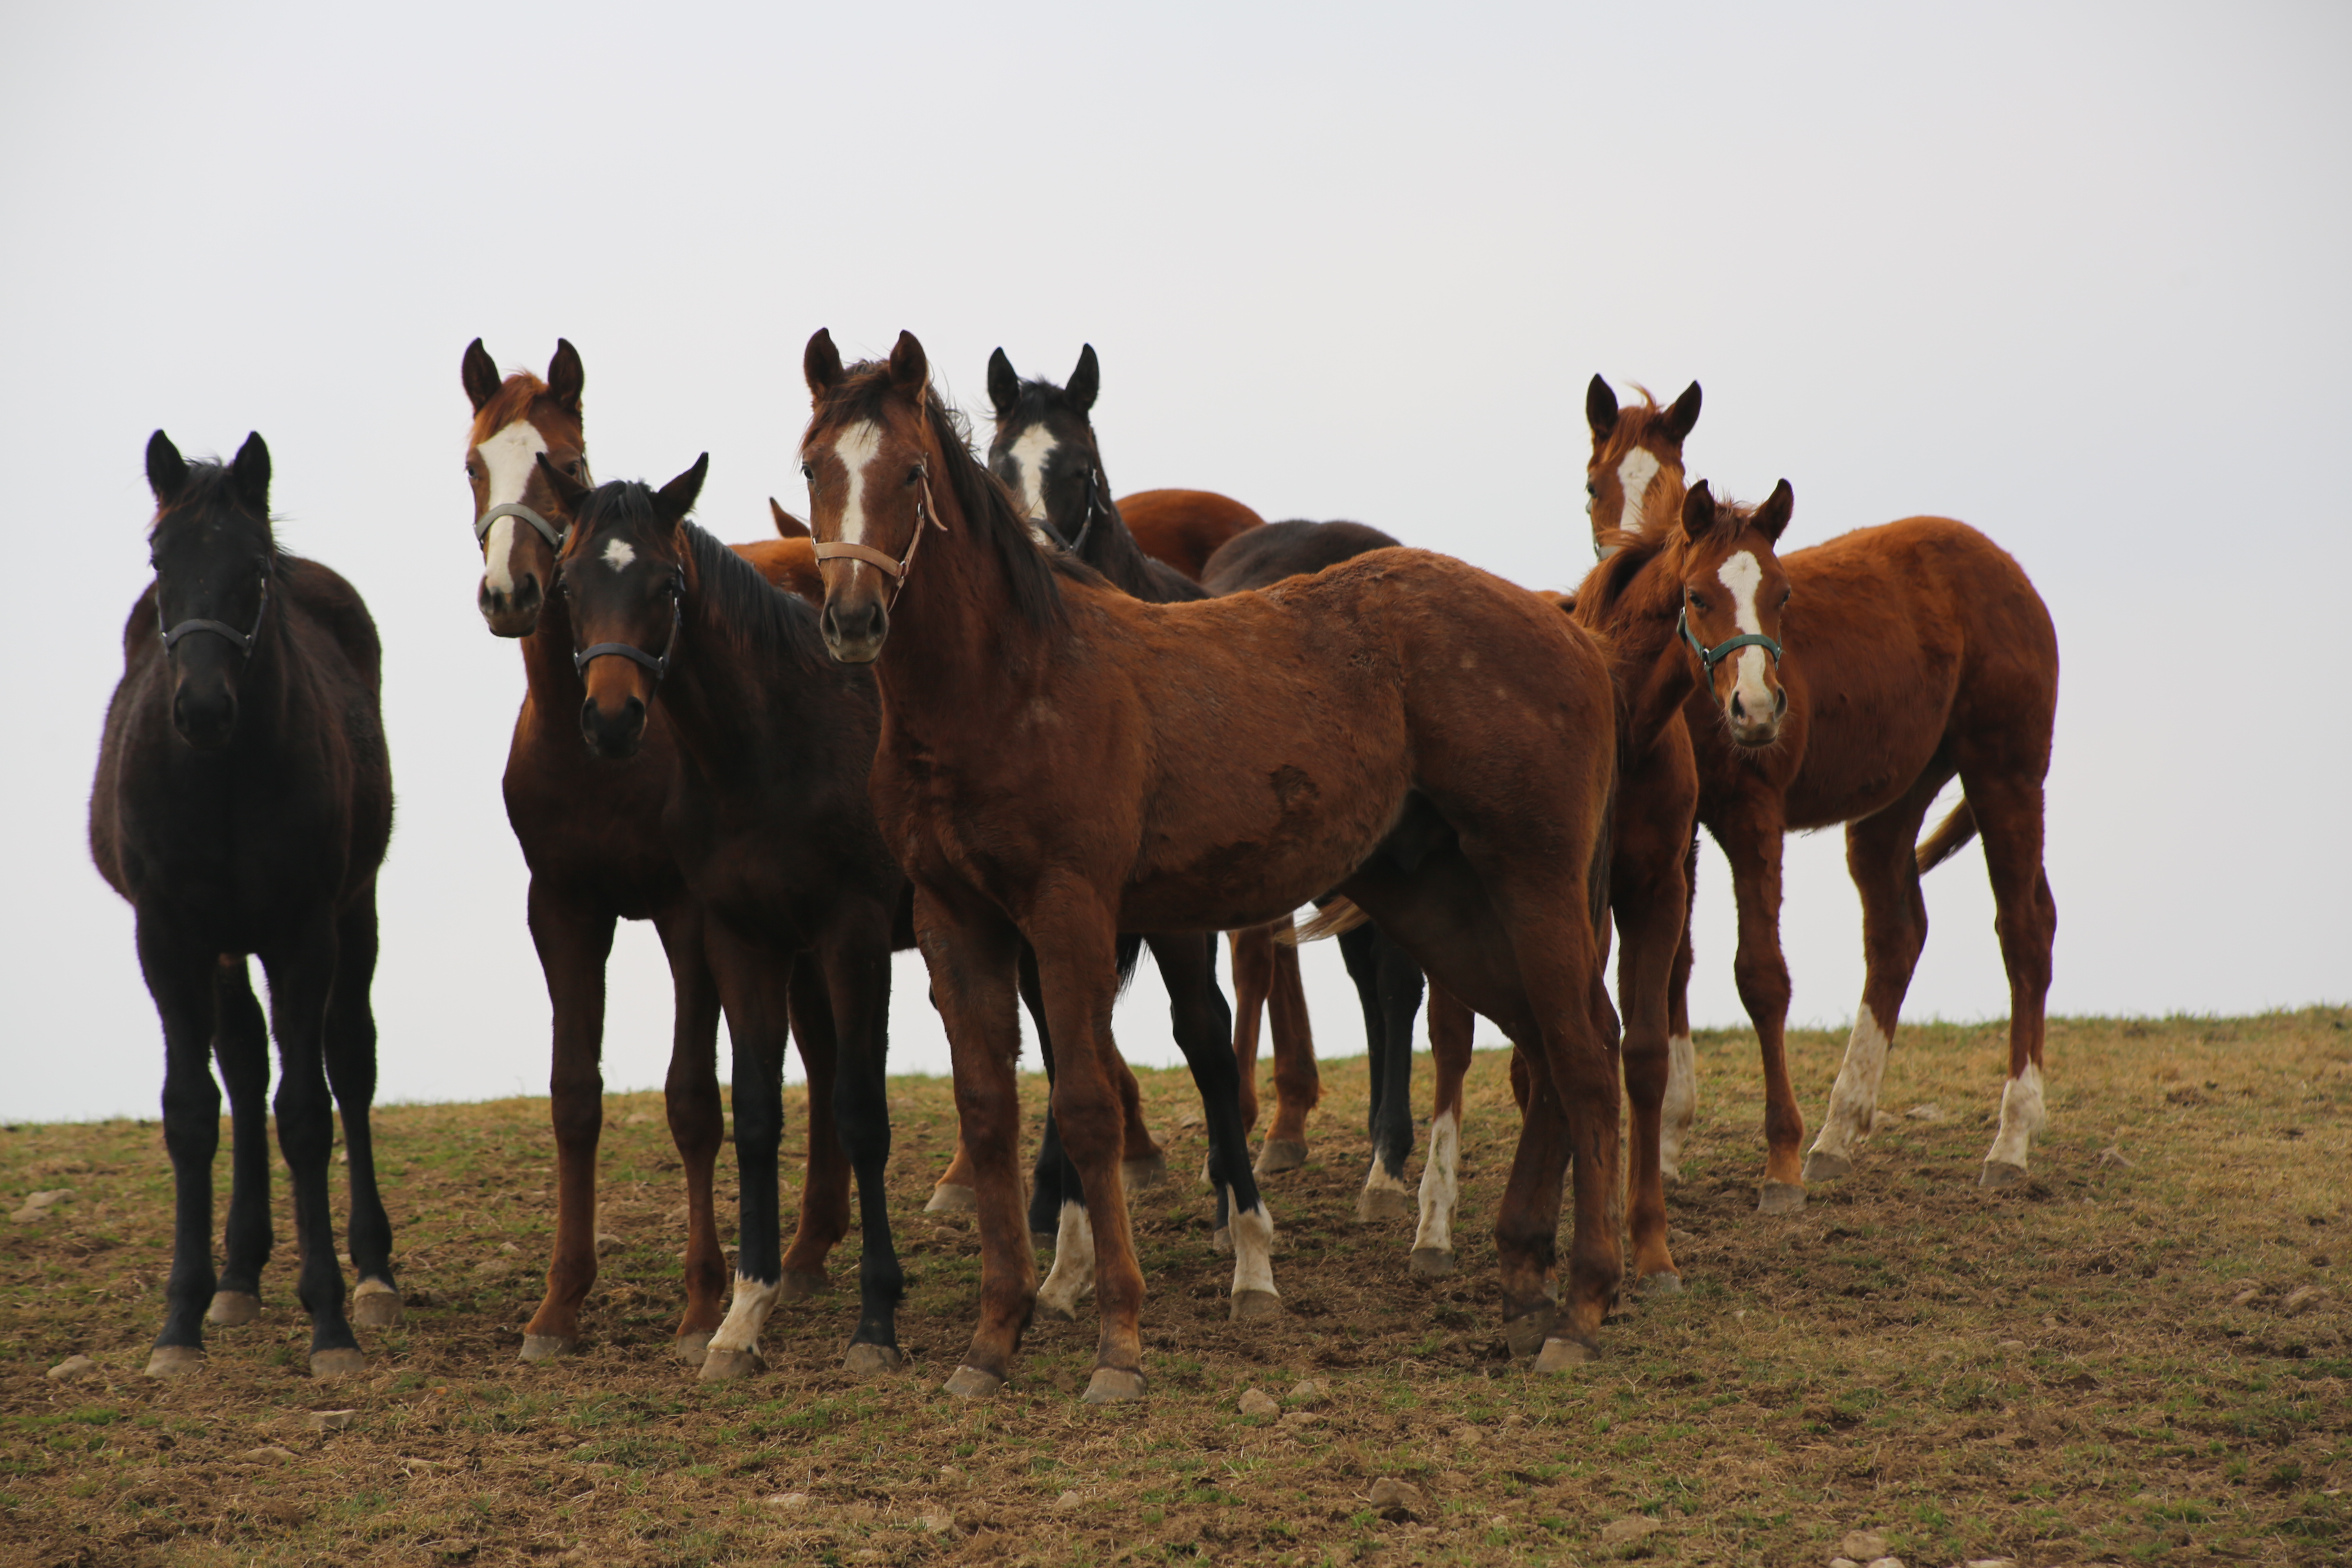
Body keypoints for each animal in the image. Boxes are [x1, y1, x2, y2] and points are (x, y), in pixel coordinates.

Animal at [89, 430, 397, 1373]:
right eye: (162, 561)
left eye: (254, 571)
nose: (200, 707)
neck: (218, 781)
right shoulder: (168, 936)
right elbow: (194, 1110)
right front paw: (181, 1320)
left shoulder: (305, 930)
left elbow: (306, 1110)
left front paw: (330, 1320)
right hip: (226, 945)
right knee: (245, 1060)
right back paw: (238, 1276)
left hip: (353, 912)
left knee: (349, 1060)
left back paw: (374, 1273)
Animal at [461, 334, 856, 1363]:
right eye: (476, 463)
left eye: (563, 464)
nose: (511, 593)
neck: (595, 750)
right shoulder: (562, 908)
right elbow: (573, 1095)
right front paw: (558, 1305)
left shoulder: (689, 916)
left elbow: (690, 1100)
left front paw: (702, 1302)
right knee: (827, 1051)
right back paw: (806, 1251)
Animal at [541, 456, 917, 1382]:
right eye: (568, 583)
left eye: (668, 584)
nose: (612, 720)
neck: (777, 747)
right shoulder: (743, 939)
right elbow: (753, 1113)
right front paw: (742, 1317)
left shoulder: (855, 936)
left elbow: (862, 1111)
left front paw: (876, 1321)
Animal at [800, 331, 1627, 1401]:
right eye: (813, 469)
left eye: (909, 471)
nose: (853, 619)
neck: (1010, 686)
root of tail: (1570, 628)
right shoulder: (959, 922)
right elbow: (988, 1114)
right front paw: (991, 1341)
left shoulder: (1072, 912)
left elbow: (1086, 1105)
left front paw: (1117, 1339)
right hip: (1442, 901)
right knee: (1545, 1044)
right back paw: (1524, 1283)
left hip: (1533, 884)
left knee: (1584, 1053)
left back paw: (1582, 1305)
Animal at [1580, 371, 2060, 1203]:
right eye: (1595, 486)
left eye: (1783, 595)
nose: (1759, 708)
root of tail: (2008, 571)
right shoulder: (1681, 835)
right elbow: (1675, 966)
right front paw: (1667, 1144)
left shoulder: (1751, 815)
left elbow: (1761, 976)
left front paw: (1776, 1161)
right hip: (1893, 801)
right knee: (1897, 935)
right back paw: (1839, 1132)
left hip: (2006, 774)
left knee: (2026, 930)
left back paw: (2010, 1140)